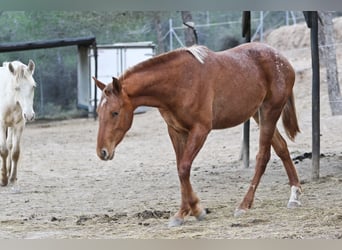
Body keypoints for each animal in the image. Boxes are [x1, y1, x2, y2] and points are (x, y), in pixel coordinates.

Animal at [0, 59, 36, 187]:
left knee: (10, 144)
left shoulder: (19, 125)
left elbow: (15, 152)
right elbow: (3, 150)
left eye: (33, 87)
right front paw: (3, 179)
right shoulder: (1, 124)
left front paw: (12, 177)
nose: (29, 115)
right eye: (17, 88)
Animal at [93, 42, 302, 227]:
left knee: (263, 156)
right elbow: (180, 169)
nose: (102, 152)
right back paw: (295, 196)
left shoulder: (200, 130)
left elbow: (184, 168)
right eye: (98, 112)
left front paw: (195, 210)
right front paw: (184, 212)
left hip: (269, 113)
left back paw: (244, 205)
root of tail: (283, 59)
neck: (179, 82)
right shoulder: (176, 131)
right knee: (282, 148)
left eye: (115, 113)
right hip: (258, 115)